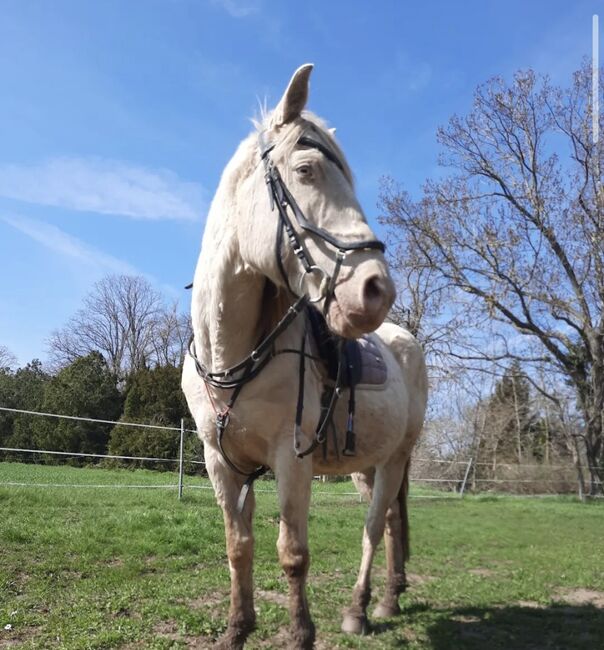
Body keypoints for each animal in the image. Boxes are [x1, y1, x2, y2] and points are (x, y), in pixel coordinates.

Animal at [182, 62, 428, 648]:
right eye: (307, 169)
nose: (376, 290)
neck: (231, 358)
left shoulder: (291, 458)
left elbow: (292, 553)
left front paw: (299, 632)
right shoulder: (220, 463)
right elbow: (238, 549)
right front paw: (237, 628)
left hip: (394, 459)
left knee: (374, 527)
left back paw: (360, 609)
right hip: (368, 464)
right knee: (390, 523)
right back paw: (389, 598)